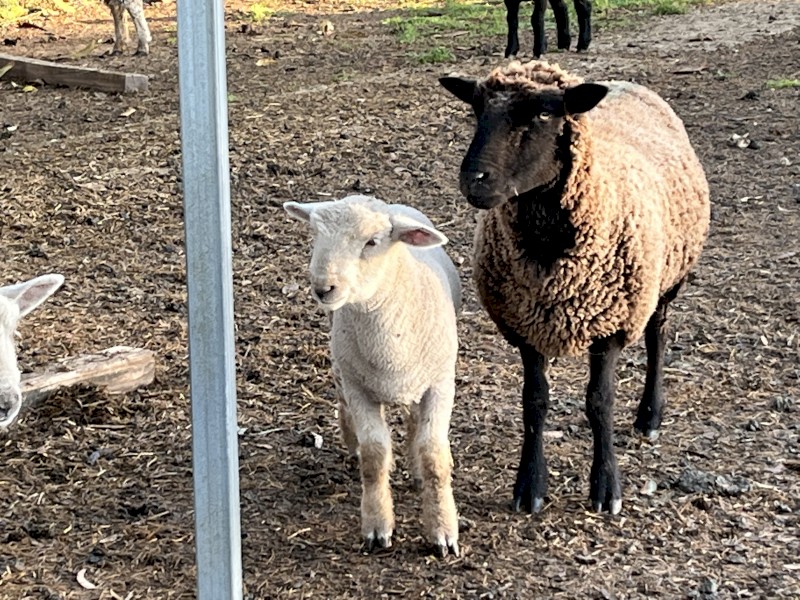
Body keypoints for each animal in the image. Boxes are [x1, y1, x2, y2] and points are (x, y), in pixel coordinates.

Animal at [283, 194, 462, 557]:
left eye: (372, 242)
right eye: (315, 234)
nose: (323, 287)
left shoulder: (440, 384)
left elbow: (434, 455)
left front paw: (443, 531)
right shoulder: (358, 388)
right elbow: (374, 456)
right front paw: (378, 527)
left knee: (414, 420)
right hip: (344, 367)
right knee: (344, 405)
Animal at [439, 61, 710, 515]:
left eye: (545, 114)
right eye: (477, 109)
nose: (474, 179)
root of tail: (626, 83)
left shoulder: (611, 324)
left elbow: (600, 402)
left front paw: (606, 487)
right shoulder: (524, 322)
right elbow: (534, 401)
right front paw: (529, 486)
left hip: (666, 277)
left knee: (658, 335)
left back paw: (650, 416)